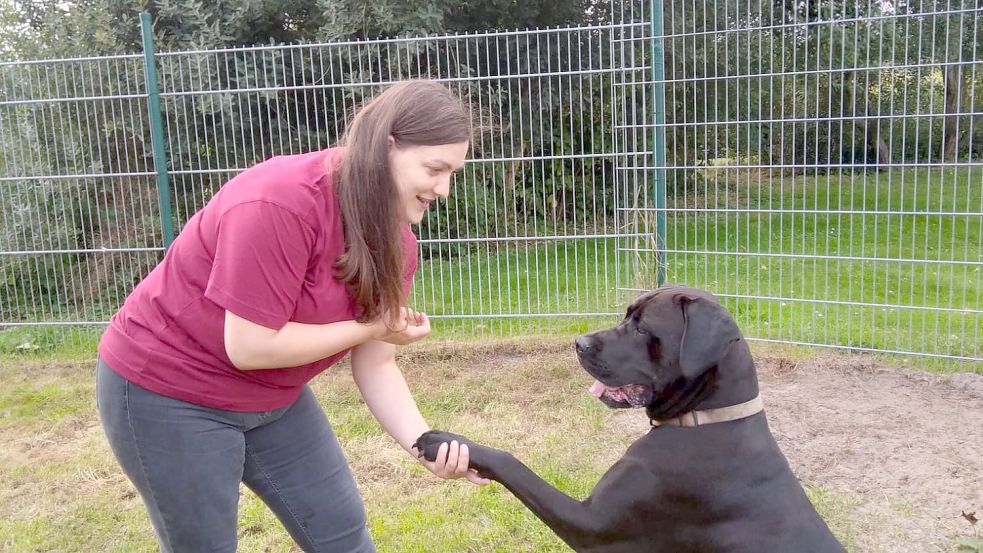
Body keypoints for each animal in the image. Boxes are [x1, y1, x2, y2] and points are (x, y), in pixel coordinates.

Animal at [416, 286, 844, 548]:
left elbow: (513, 463)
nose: (579, 342)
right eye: (626, 316)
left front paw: (447, 442)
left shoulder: (593, 524)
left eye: (642, 329)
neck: (706, 417)